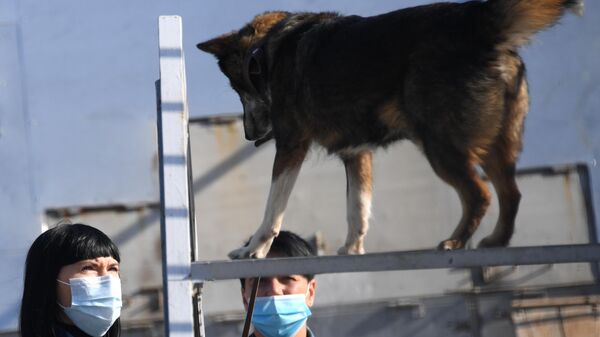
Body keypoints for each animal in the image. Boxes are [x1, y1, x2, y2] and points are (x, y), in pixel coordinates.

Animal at [197, 0, 580, 258]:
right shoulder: (357, 154)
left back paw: (455, 241)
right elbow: (358, 209)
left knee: (480, 194)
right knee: (511, 193)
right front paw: (352, 250)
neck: (268, 49)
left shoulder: (291, 145)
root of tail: (478, 26)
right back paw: (496, 240)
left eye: (238, 89)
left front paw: (253, 248)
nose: (248, 135)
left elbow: (273, 209)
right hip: (495, 144)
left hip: (441, 145)